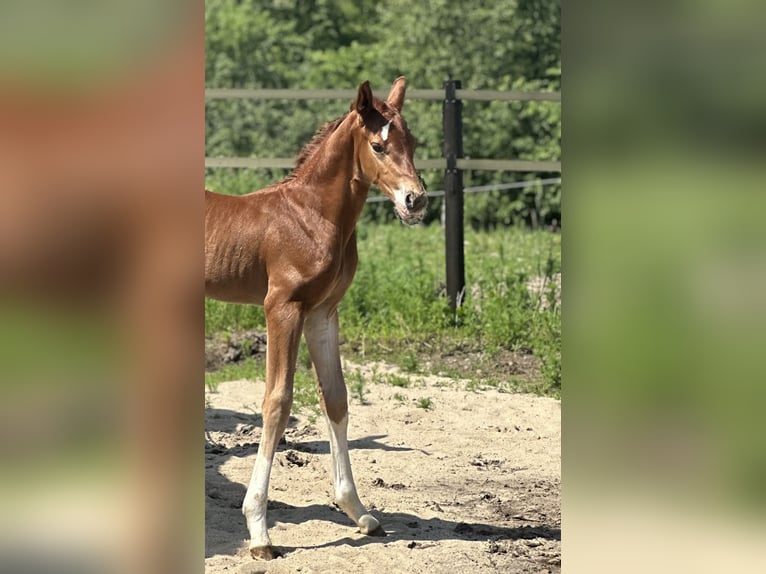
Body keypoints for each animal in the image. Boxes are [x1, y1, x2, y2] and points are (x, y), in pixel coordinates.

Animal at [207, 79, 428, 560]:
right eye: (378, 146)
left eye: (414, 143)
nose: (415, 200)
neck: (312, 214)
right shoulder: (282, 307)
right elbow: (277, 402)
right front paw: (259, 531)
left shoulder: (323, 313)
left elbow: (336, 398)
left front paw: (358, 511)